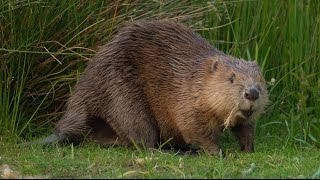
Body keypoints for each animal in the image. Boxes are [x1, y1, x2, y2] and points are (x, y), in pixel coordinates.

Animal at [26, 20, 268, 155]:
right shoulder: (185, 99)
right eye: (231, 78)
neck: (195, 78)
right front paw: (218, 153)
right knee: (144, 140)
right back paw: (181, 152)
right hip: (123, 96)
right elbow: (195, 129)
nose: (252, 93)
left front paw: (249, 149)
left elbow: (246, 128)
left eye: (260, 81)